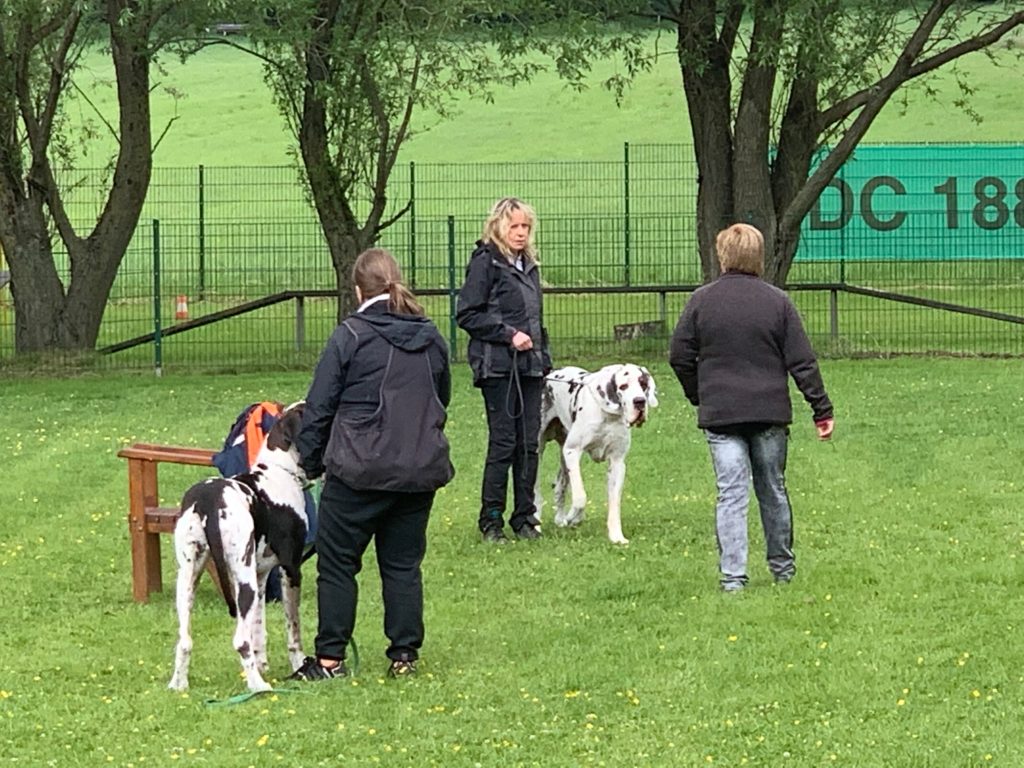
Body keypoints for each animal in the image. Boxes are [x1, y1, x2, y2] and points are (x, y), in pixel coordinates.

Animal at [168, 401, 309, 693]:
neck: (279, 472)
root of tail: (208, 502)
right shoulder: (290, 569)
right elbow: (293, 630)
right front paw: (299, 664)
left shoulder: (262, 576)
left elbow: (259, 628)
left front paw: (263, 663)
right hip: (244, 584)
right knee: (240, 641)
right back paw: (258, 686)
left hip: (188, 581)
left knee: (184, 640)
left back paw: (179, 683)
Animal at [535, 364, 658, 544]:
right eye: (623, 386)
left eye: (643, 384)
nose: (640, 401)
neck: (608, 415)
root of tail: (549, 372)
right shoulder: (573, 451)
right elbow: (580, 497)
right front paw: (574, 517)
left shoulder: (617, 462)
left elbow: (615, 503)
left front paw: (617, 536)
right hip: (538, 450)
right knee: (535, 491)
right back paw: (537, 523)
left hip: (563, 452)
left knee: (559, 486)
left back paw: (560, 519)